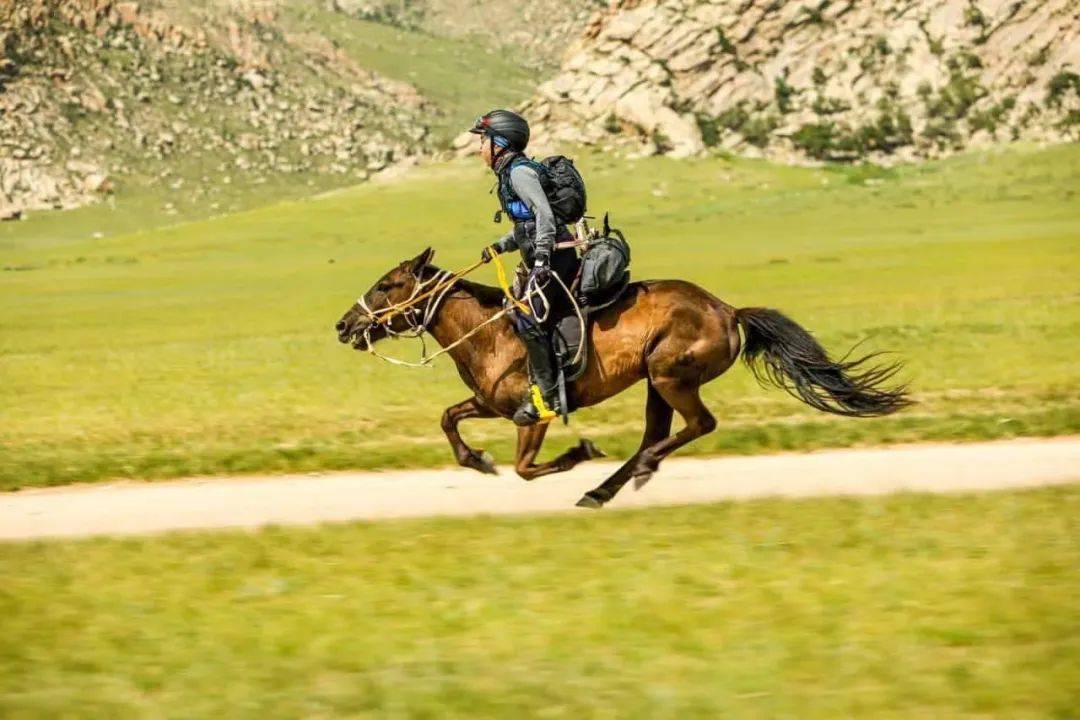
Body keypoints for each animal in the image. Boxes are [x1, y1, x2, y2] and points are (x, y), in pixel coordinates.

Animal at [332, 248, 907, 507]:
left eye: (388, 284)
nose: (344, 325)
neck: (491, 331)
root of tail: (727, 309)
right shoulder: (490, 404)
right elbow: (449, 419)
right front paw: (478, 461)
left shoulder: (533, 414)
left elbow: (526, 467)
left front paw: (578, 452)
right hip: (657, 383)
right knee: (658, 432)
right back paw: (605, 489)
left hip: (670, 376)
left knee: (697, 426)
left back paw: (630, 474)